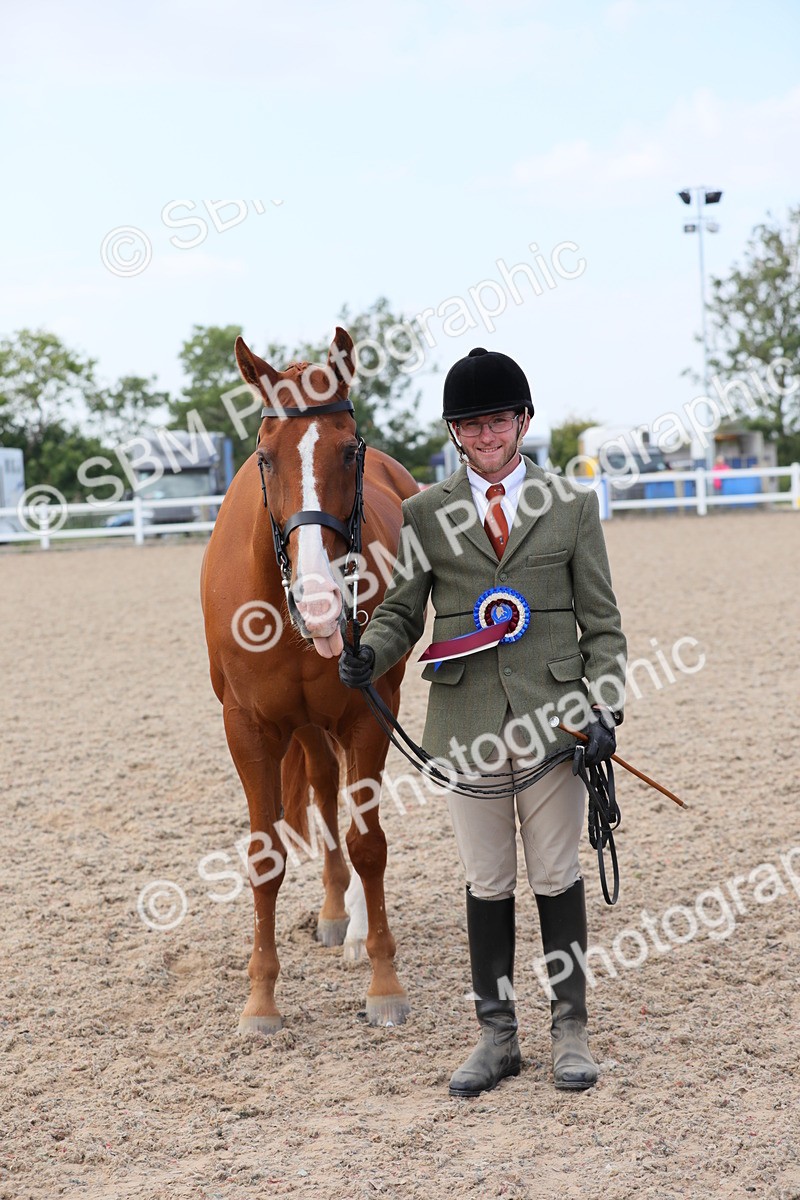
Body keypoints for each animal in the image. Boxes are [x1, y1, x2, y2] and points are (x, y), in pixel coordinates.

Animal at [200, 327, 419, 1033]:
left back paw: (352, 930)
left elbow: (368, 843)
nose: (321, 600)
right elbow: (265, 855)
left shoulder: (366, 714)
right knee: (324, 792)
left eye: (350, 450)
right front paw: (261, 1000)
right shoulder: (248, 729)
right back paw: (332, 914)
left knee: (345, 806)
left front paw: (383, 981)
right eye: (265, 459)